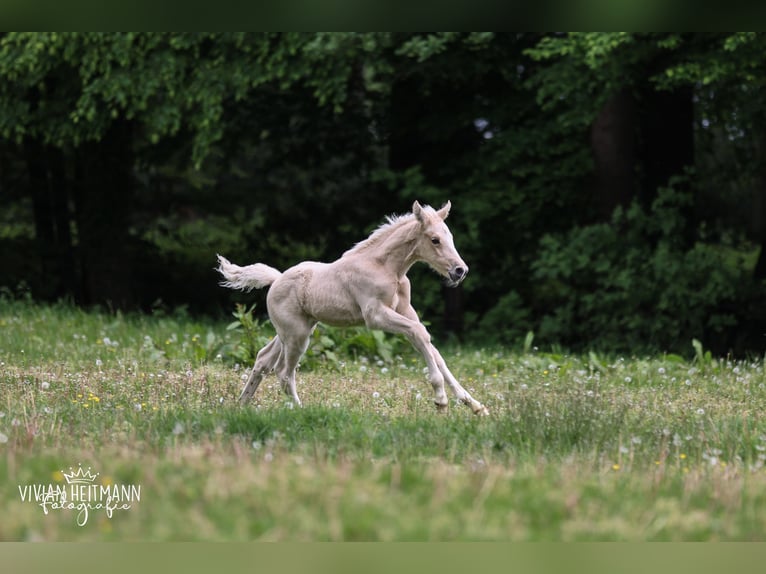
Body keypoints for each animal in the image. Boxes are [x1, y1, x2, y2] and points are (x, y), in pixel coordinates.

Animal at [216, 200, 489, 416]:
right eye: (435, 240)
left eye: (450, 238)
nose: (460, 271)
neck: (387, 268)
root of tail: (276, 279)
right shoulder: (375, 316)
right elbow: (421, 335)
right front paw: (441, 400)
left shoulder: (406, 311)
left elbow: (431, 347)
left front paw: (474, 404)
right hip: (297, 336)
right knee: (283, 372)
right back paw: (301, 411)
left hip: (292, 330)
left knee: (263, 359)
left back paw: (241, 405)